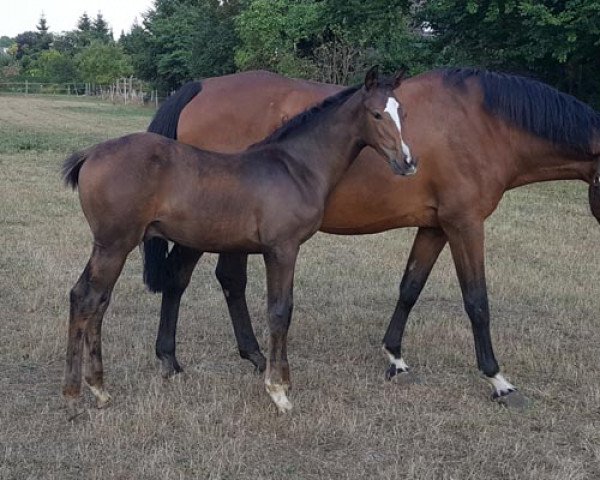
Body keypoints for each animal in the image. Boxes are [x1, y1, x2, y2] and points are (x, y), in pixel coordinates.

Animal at [62, 68, 418, 412]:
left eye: (402, 111)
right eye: (376, 114)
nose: (408, 163)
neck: (296, 167)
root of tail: (90, 154)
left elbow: (281, 309)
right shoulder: (282, 248)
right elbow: (279, 311)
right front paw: (279, 390)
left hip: (109, 246)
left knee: (92, 298)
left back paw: (97, 387)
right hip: (114, 245)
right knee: (88, 299)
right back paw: (81, 389)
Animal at [146, 66, 600, 408]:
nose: (408, 162)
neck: (482, 124)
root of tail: (201, 86)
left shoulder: (435, 226)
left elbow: (410, 287)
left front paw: (395, 357)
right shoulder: (465, 224)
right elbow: (477, 301)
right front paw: (498, 380)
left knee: (226, 280)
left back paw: (253, 357)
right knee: (181, 278)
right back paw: (171, 359)